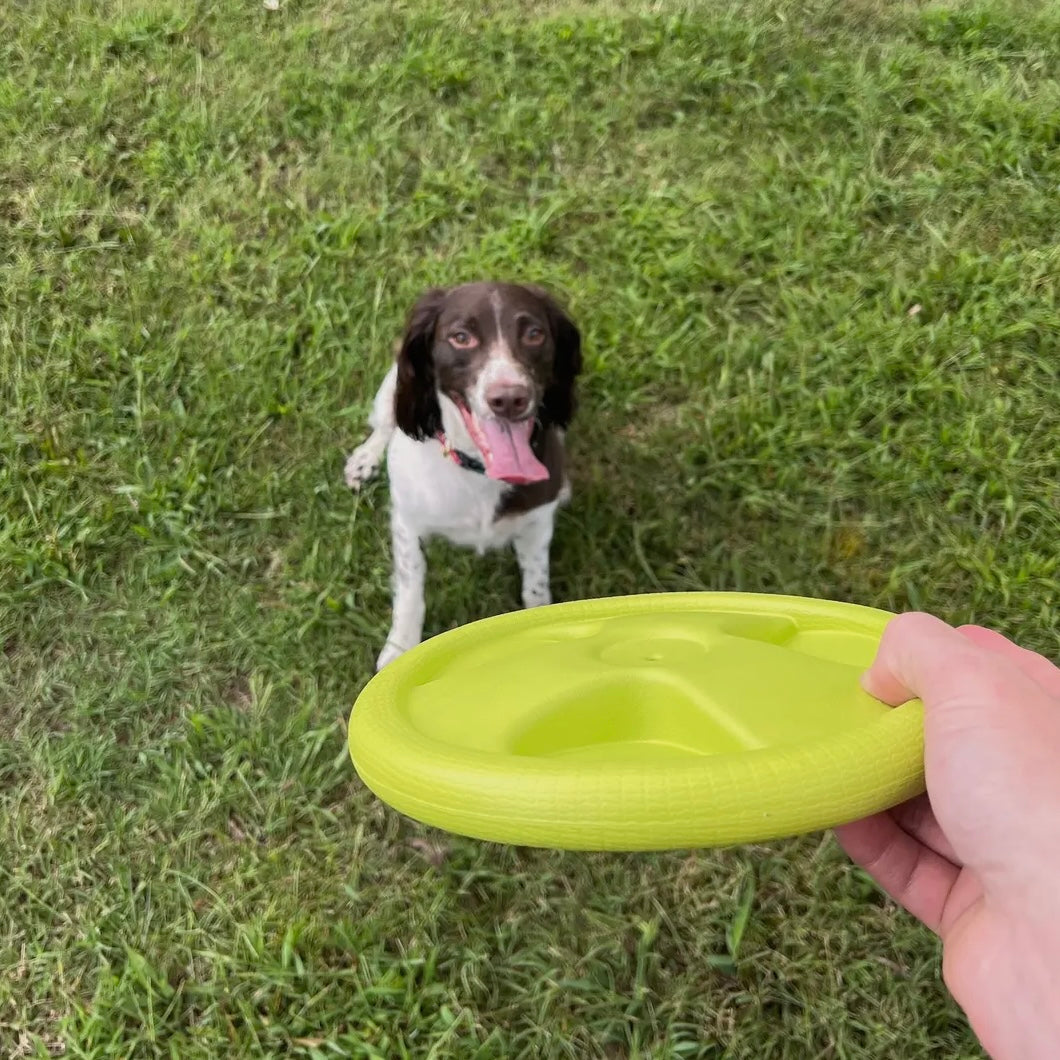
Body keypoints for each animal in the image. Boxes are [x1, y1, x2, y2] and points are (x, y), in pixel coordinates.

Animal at [345, 281, 580, 669]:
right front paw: (401, 649)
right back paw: (365, 459)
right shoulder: (406, 522)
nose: (509, 398)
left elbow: (535, 584)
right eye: (460, 337)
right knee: (385, 425)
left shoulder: (537, 524)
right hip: (392, 389)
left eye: (534, 334)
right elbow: (411, 589)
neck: (479, 469)